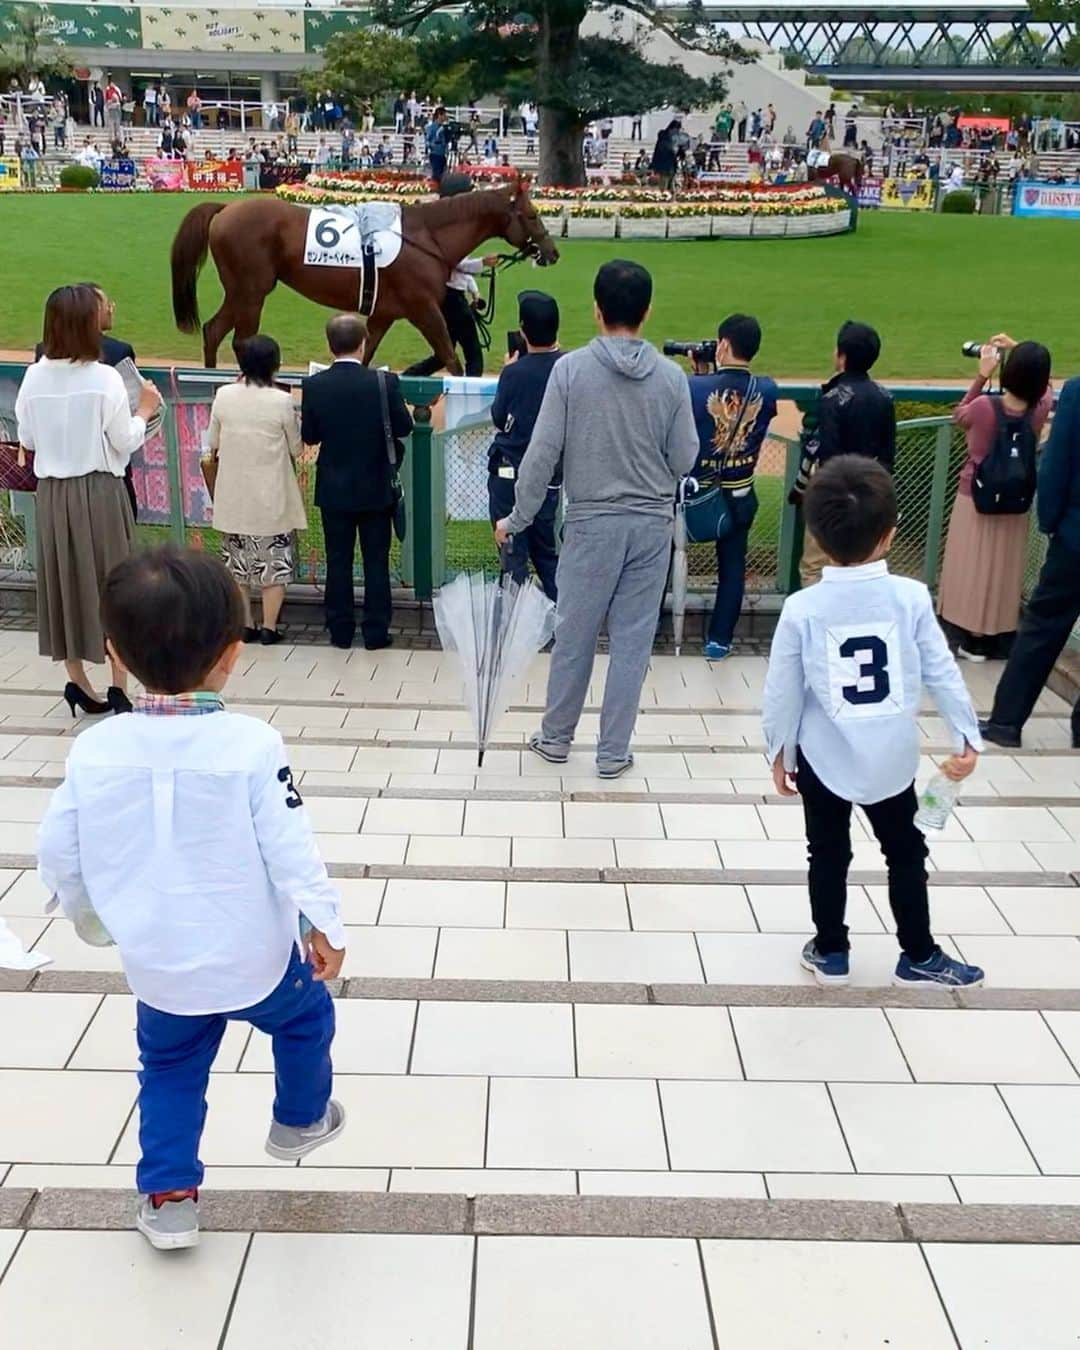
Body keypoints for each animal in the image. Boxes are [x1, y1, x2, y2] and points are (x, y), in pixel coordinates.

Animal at [172, 179, 561, 372]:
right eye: (531, 215)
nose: (553, 252)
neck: (426, 237)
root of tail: (226, 209)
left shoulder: (383, 314)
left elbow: (365, 354)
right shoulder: (423, 310)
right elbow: (450, 357)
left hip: (241, 292)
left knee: (213, 331)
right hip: (251, 292)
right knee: (239, 340)